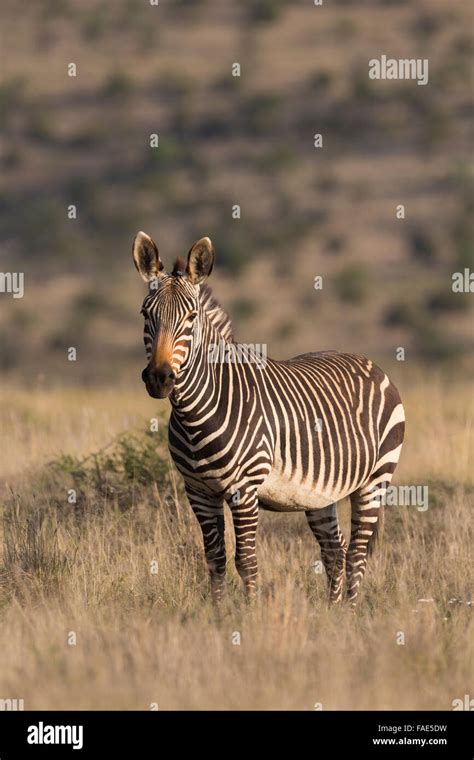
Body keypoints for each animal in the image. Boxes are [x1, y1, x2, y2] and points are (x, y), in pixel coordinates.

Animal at [132, 232, 404, 604]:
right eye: (146, 313)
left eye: (191, 317)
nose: (159, 378)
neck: (195, 416)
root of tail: (370, 363)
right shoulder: (198, 491)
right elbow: (215, 559)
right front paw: (218, 613)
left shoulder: (244, 490)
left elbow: (245, 560)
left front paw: (250, 614)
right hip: (320, 493)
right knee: (335, 550)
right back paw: (333, 613)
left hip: (375, 479)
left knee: (357, 553)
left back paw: (349, 610)